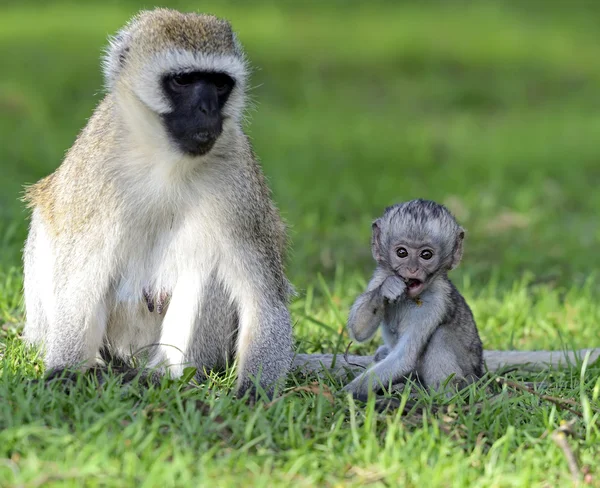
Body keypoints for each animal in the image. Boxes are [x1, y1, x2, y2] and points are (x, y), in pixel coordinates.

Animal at [342, 200, 482, 398]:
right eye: (402, 253)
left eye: (426, 255)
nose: (412, 269)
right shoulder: (380, 276)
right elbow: (359, 330)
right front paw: (389, 288)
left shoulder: (435, 300)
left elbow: (404, 358)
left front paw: (346, 393)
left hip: (468, 374)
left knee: (440, 336)